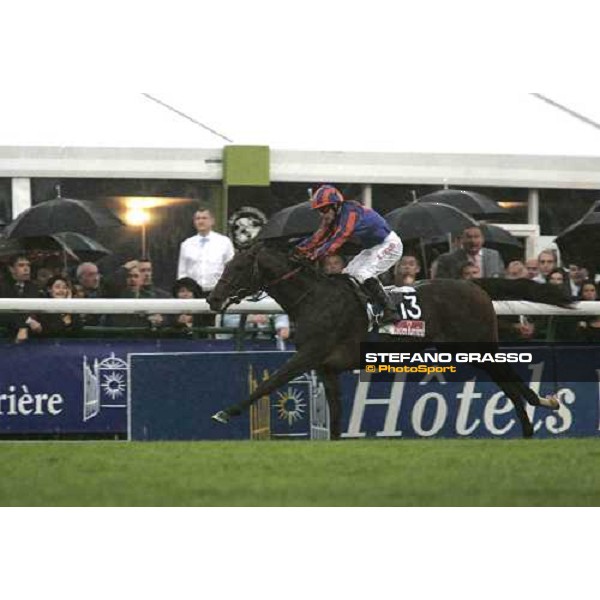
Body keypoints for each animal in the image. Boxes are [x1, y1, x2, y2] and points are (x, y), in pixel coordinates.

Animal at [207, 240, 568, 440]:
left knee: (510, 380)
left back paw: (544, 406)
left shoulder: (309, 354)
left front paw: (226, 412)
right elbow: (335, 413)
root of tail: (475, 285)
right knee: (508, 385)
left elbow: (270, 383)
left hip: (476, 346)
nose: (212, 298)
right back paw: (529, 427)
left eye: (237, 266)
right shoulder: (326, 367)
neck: (314, 298)